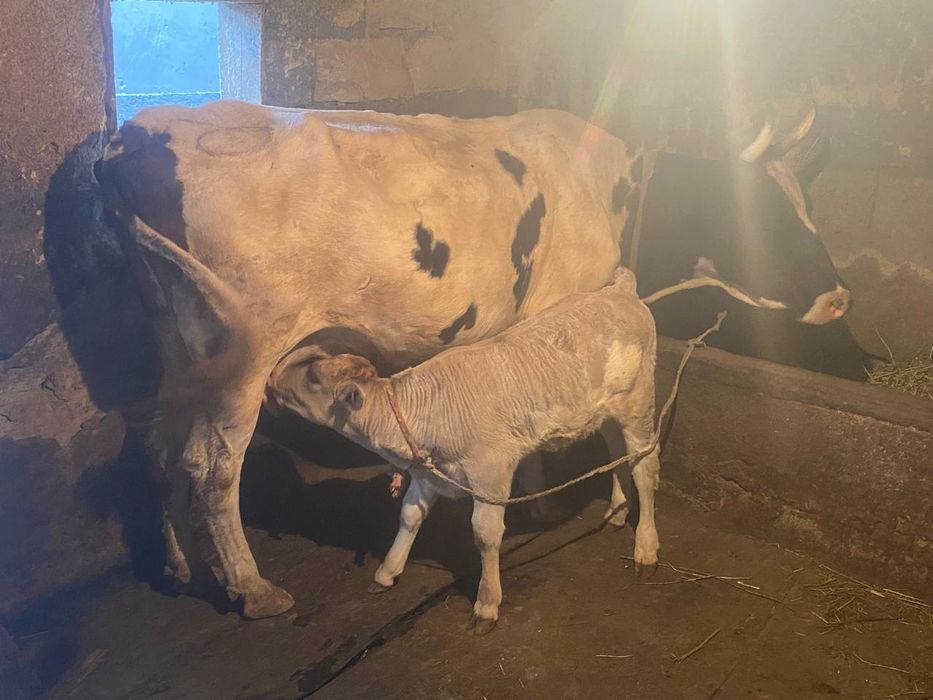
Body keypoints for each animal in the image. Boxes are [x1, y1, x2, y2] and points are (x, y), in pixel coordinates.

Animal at [264, 268, 659, 633]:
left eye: (313, 376)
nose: (273, 376)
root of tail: (619, 290)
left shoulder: (490, 472)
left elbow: (484, 534)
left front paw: (486, 605)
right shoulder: (428, 473)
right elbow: (409, 515)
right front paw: (387, 572)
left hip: (639, 406)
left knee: (644, 469)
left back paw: (646, 547)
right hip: (608, 413)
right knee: (616, 453)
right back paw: (617, 512)